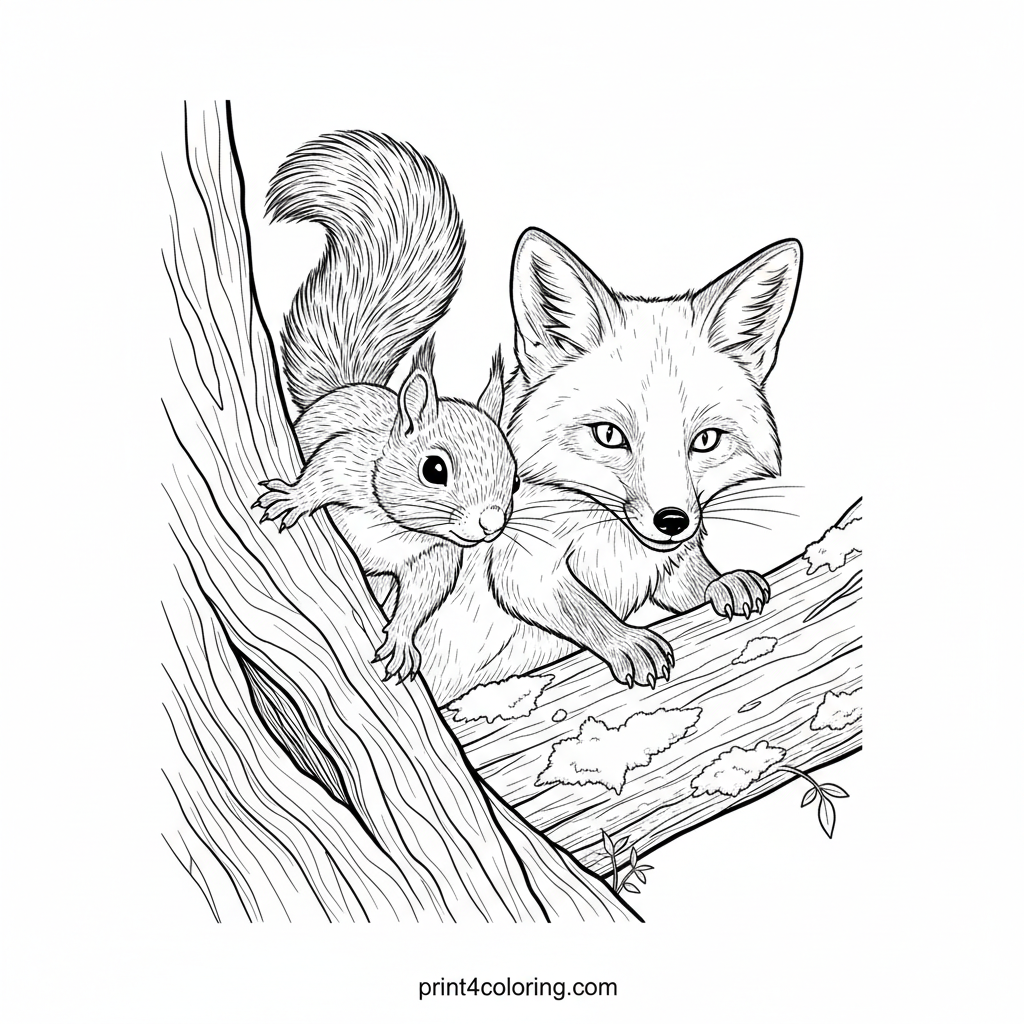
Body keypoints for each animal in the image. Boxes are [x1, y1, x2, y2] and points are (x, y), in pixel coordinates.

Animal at [253, 131, 518, 684]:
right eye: (434, 469)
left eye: (515, 480)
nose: (490, 526)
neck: (399, 529)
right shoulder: (350, 459)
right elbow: (322, 472)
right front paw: (293, 498)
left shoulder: (436, 557)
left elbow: (422, 598)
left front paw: (400, 640)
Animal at [413, 228, 802, 705]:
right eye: (609, 436)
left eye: (705, 441)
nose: (672, 522)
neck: (614, 546)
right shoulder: (520, 565)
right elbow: (583, 609)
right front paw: (626, 641)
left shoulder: (667, 568)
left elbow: (695, 581)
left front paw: (726, 582)